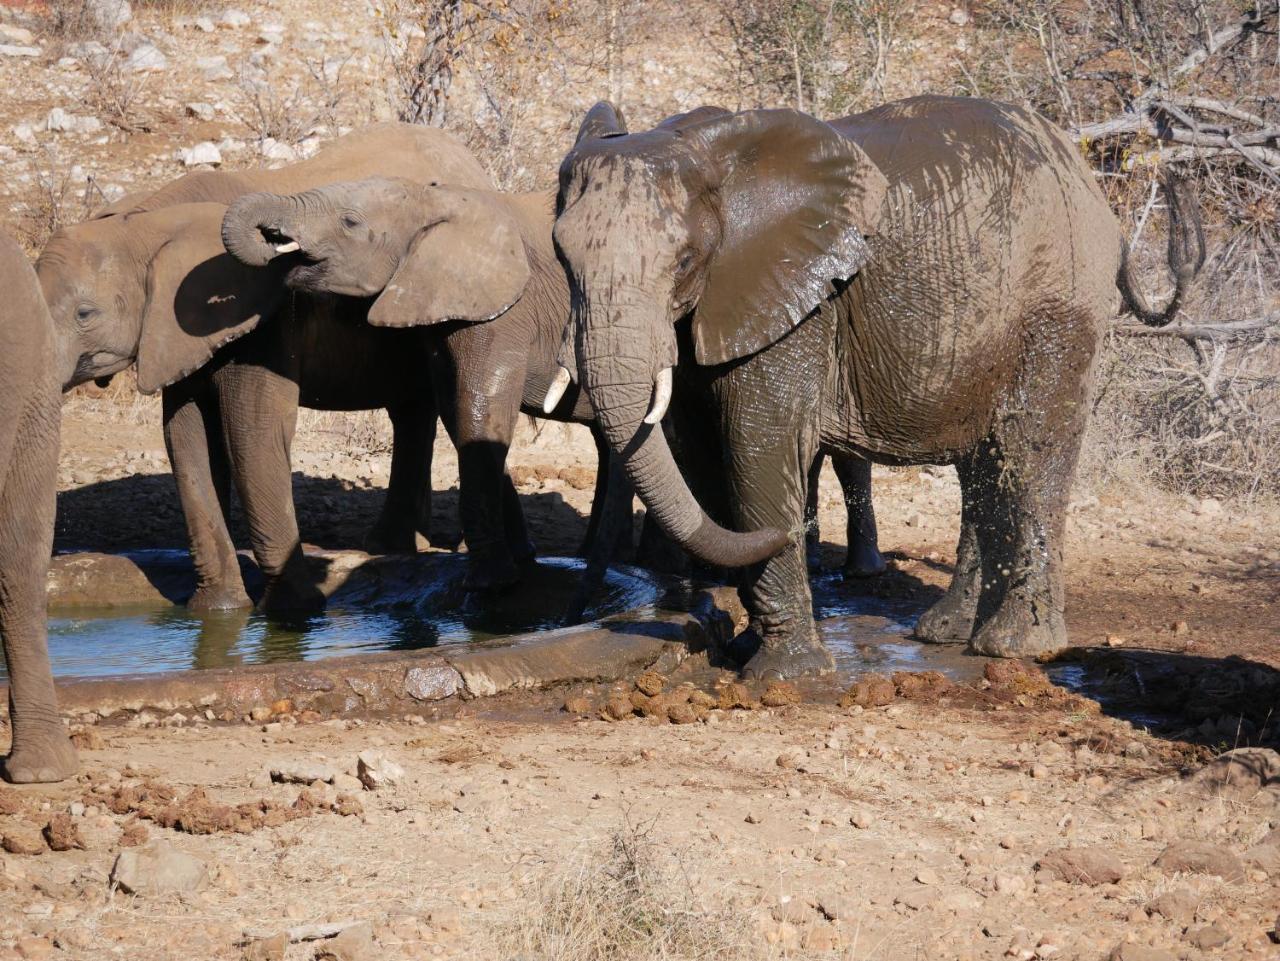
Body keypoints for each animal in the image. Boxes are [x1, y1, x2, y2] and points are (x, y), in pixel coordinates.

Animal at [37, 124, 496, 611]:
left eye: (84, 314)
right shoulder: (175, 335)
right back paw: (392, 546)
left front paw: (293, 611)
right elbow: (187, 439)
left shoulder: (260, 323)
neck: (151, 221)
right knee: (411, 411)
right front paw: (217, 611)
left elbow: (252, 432)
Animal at [550, 97, 1198, 680]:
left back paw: (1013, 646)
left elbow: (760, 446)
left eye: (684, 261)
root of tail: (1087, 180)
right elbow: (696, 452)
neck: (704, 152)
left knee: (1029, 448)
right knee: (984, 462)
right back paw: (947, 632)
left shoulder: (796, 302)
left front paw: (784, 678)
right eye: (560, 256)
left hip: (1058, 297)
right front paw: (745, 650)